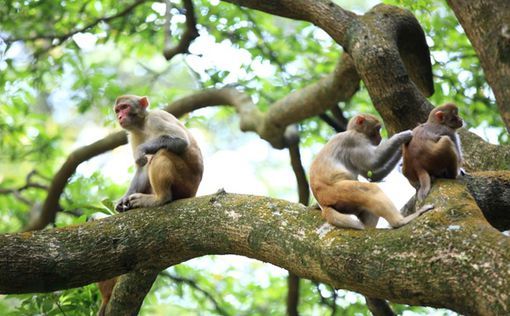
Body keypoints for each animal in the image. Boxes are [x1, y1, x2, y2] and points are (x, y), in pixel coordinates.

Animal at [97, 95, 203, 316]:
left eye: (125, 107)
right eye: (117, 110)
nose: (120, 116)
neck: (142, 125)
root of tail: (194, 192)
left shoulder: (157, 119)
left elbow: (180, 141)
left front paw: (143, 150)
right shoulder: (132, 135)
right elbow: (141, 168)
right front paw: (123, 200)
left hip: (184, 183)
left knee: (162, 153)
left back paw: (160, 198)